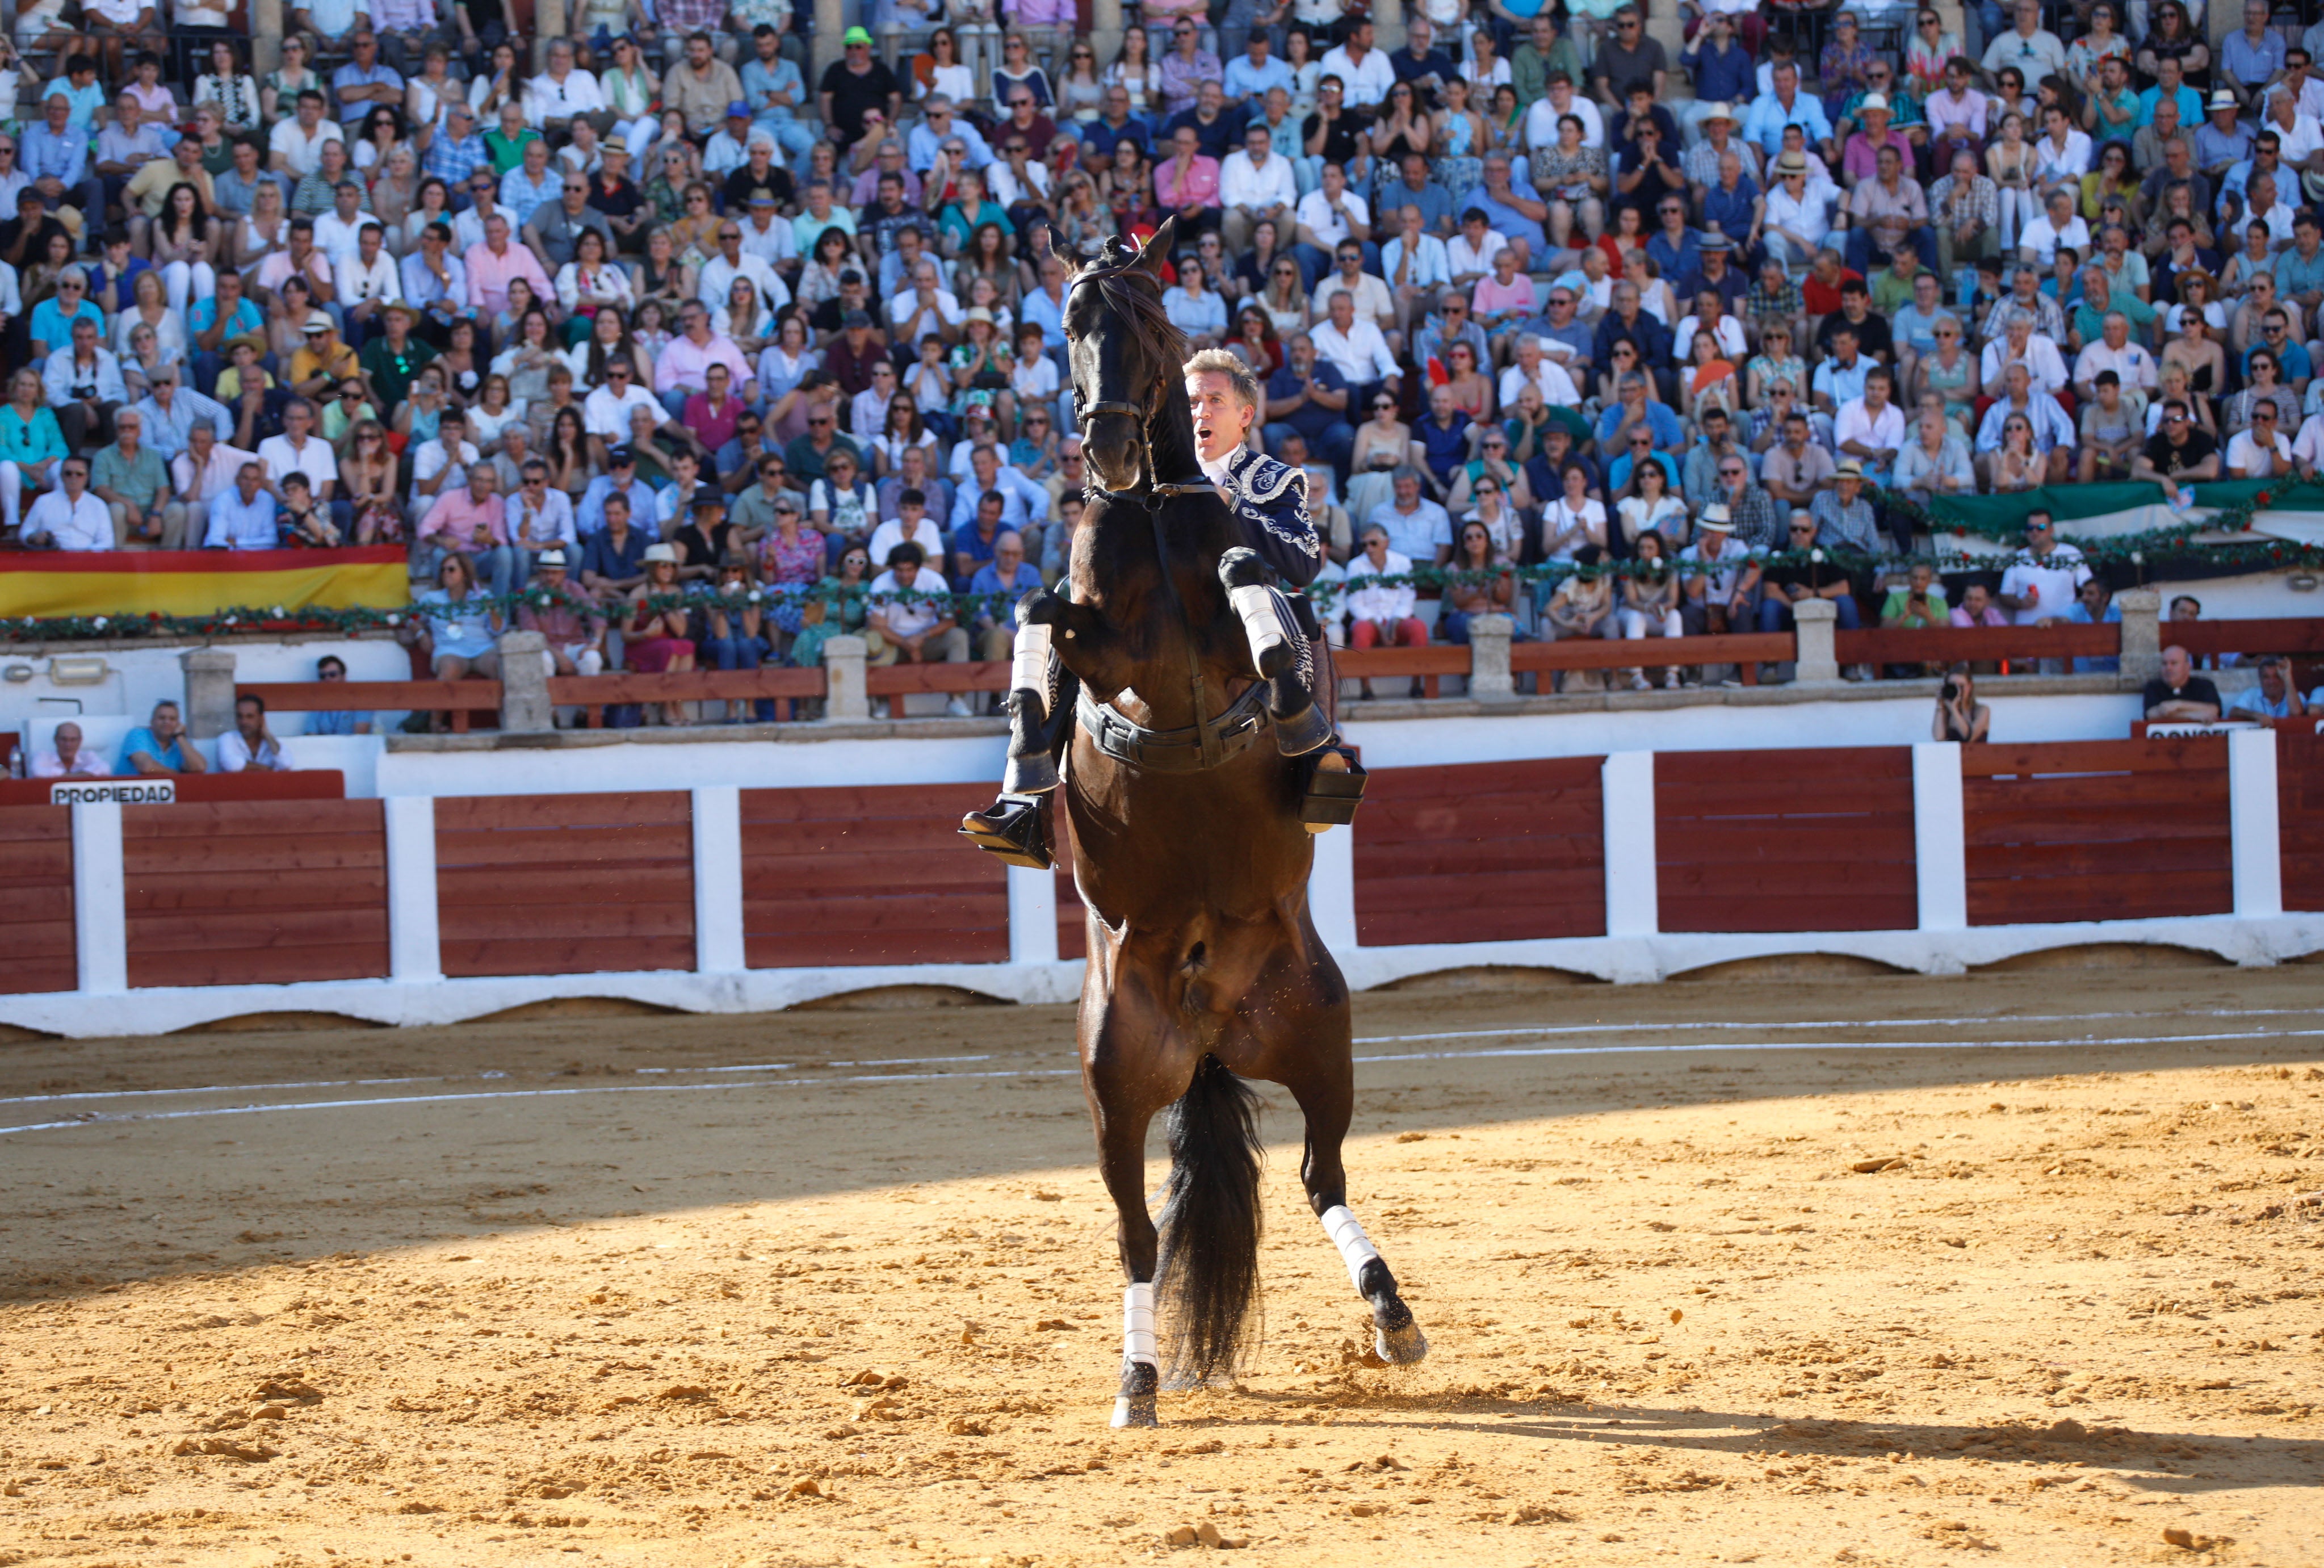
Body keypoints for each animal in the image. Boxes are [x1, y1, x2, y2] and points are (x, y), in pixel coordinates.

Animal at [957, 224, 1422, 1431]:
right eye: (1066, 330)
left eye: (1144, 328)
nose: (1110, 450)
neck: (1162, 507)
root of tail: (1209, 1025)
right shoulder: (1105, 641)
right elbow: (1040, 615)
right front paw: (1024, 779)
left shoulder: (1231, 583)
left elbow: (1256, 562)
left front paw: (1296, 705)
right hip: (1113, 1083)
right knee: (1135, 1229)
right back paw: (1135, 1381)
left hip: (1321, 1035)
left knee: (1319, 1176)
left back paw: (1391, 1313)